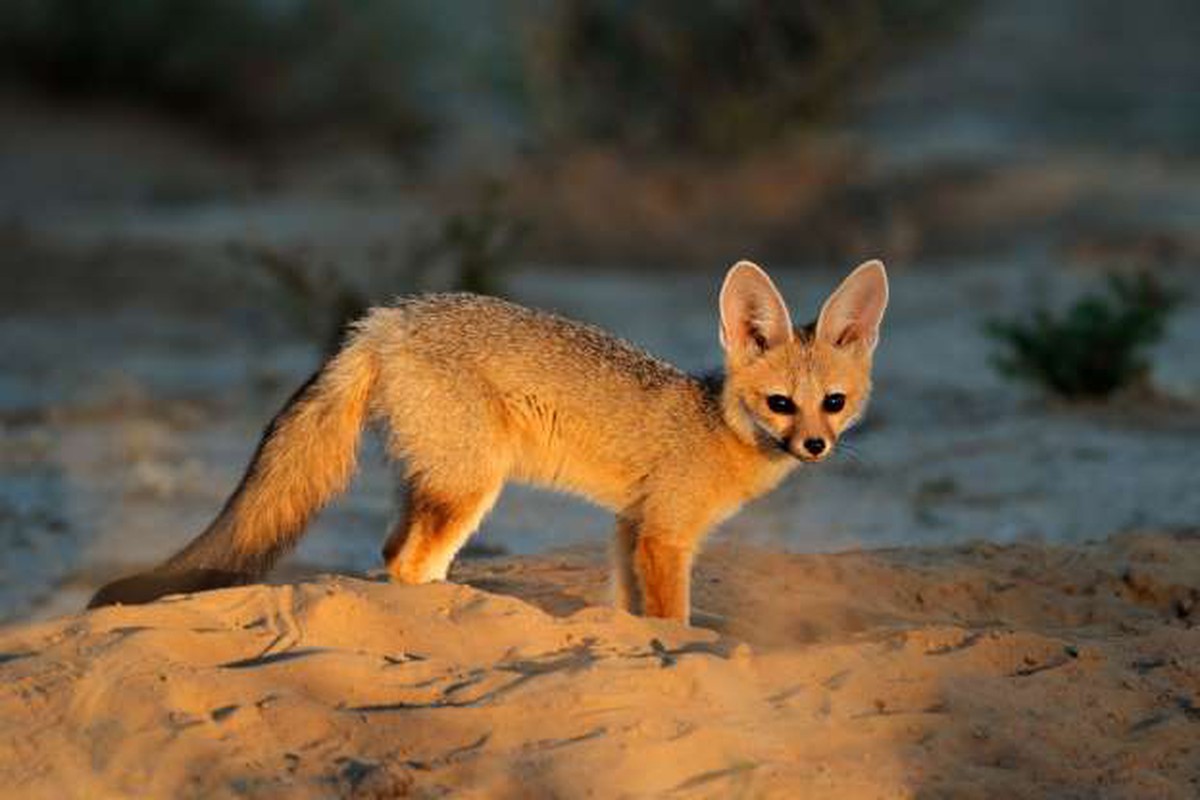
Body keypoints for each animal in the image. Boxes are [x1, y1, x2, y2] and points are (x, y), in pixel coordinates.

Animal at [88, 260, 888, 623]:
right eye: (780, 404)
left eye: (834, 404)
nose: (815, 447)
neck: (714, 422)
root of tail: (383, 318)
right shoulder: (665, 532)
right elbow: (671, 617)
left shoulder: (629, 524)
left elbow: (629, 607)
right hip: (472, 485)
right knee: (406, 565)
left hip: (434, 480)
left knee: (389, 554)